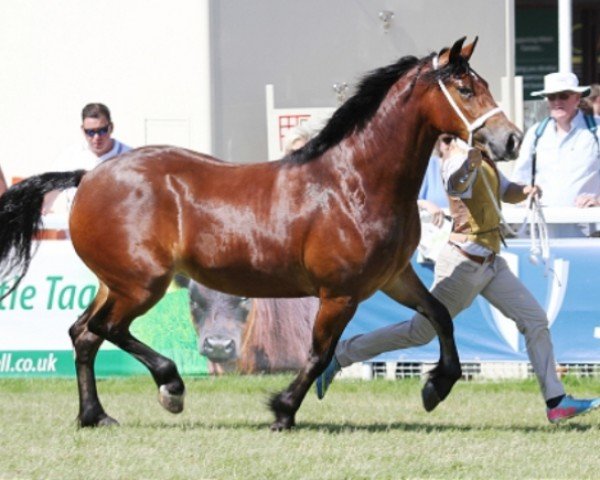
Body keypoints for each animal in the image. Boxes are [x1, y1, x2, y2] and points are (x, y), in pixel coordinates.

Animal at [0, 35, 520, 430]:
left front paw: (436, 386)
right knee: (106, 330)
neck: (356, 182)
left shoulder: (393, 278)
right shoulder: (340, 294)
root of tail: (89, 175)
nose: (511, 140)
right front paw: (282, 410)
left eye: (482, 85)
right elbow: (317, 355)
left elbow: (440, 316)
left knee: (84, 333)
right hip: (142, 284)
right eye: (465, 89)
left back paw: (95, 415)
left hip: (118, 282)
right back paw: (171, 387)